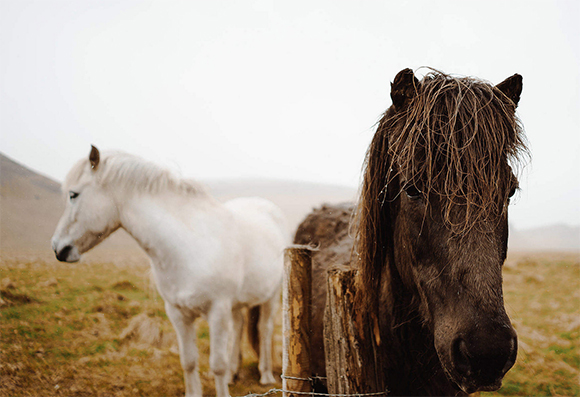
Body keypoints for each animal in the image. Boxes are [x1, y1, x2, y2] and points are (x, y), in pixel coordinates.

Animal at [51, 146, 288, 396]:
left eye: (73, 195)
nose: (58, 248)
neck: (188, 245)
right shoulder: (177, 313)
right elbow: (189, 361)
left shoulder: (217, 311)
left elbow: (217, 365)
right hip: (236, 304)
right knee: (240, 325)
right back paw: (234, 374)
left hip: (272, 295)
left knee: (264, 329)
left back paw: (265, 375)